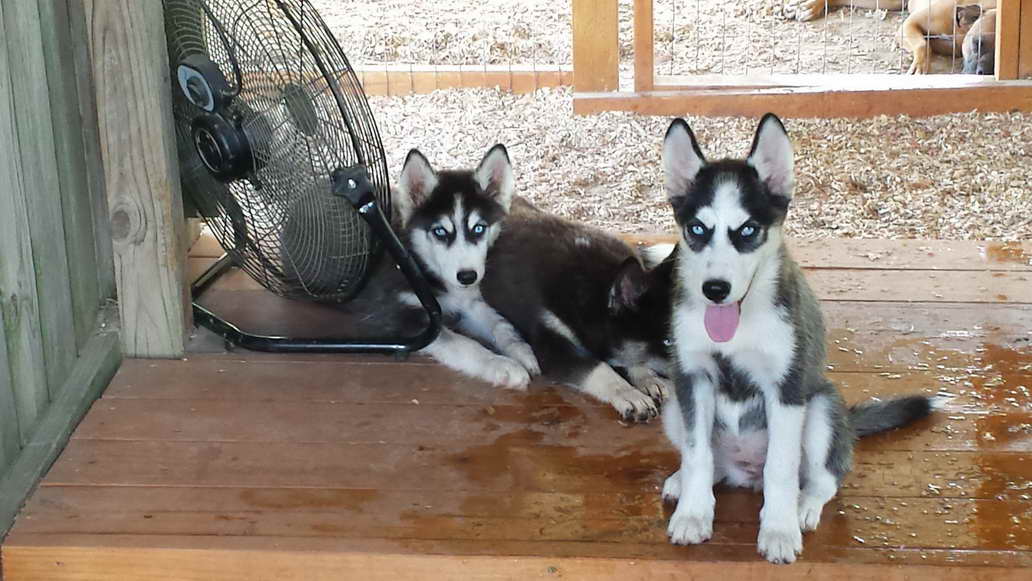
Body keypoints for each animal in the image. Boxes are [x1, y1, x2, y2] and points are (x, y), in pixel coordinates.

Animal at [660, 113, 937, 565]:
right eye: (697, 229)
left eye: (748, 230)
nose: (714, 290)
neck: (740, 326)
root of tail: (744, 474)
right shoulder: (692, 378)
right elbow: (698, 453)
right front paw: (693, 514)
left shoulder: (787, 389)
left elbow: (782, 467)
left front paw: (778, 529)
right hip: (673, 406)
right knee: (710, 460)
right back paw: (683, 482)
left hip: (821, 403)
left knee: (825, 478)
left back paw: (804, 506)